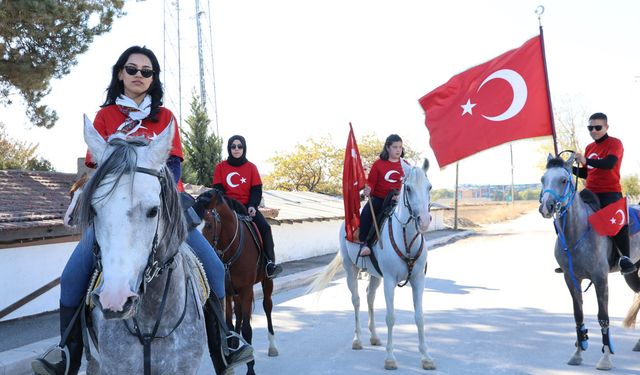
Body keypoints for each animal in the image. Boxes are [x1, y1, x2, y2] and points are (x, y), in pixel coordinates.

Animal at [201, 189, 278, 375]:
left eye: (209, 225)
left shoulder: (247, 289)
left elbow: (247, 329)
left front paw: (250, 368)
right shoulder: (228, 291)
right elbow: (229, 323)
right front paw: (231, 349)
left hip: (267, 282)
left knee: (267, 307)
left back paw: (272, 346)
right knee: (240, 313)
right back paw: (236, 344)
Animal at [540, 155, 640, 370]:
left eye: (563, 180)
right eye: (543, 179)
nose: (546, 207)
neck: (577, 232)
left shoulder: (600, 278)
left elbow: (603, 317)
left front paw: (606, 358)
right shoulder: (571, 279)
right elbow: (578, 315)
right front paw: (577, 353)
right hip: (632, 274)